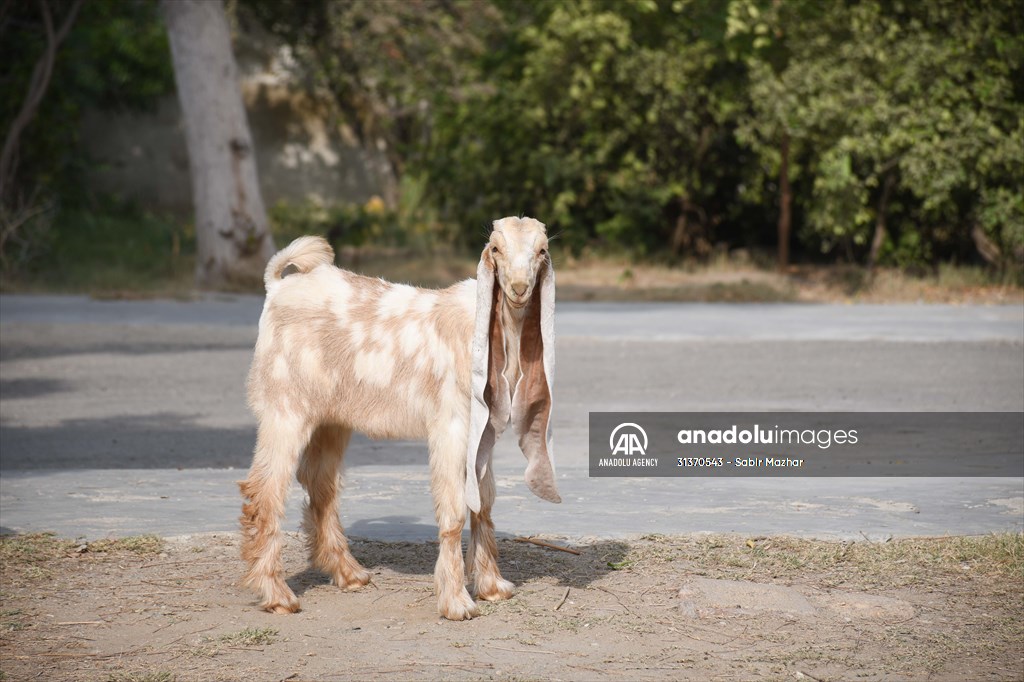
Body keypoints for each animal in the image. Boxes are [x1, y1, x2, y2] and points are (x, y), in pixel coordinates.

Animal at [238, 215, 561, 618]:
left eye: (542, 249)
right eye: (496, 249)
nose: (518, 288)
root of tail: (277, 287)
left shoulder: (482, 433)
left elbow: (483, 503)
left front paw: (492, 586)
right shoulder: (450, 425)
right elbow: (455, 509)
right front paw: (457, 601)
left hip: (331, 419)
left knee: (321, 484)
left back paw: (349, 573)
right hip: (285, 407)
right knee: (265, 491)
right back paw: (277, 594)